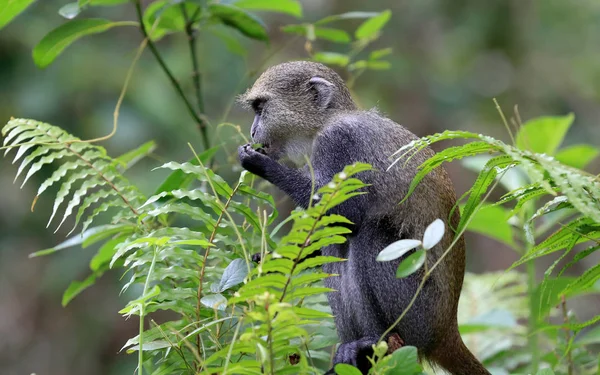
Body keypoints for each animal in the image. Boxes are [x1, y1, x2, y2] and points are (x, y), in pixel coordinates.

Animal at [237, 61, 490, 375]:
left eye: (261, 108)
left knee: (369, 234)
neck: (325, 122)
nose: (252, 130)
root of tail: (446, 331)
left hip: (419, 314)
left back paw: (372, 344)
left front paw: (260, 163)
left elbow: (348, 213)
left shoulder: (338, 143)